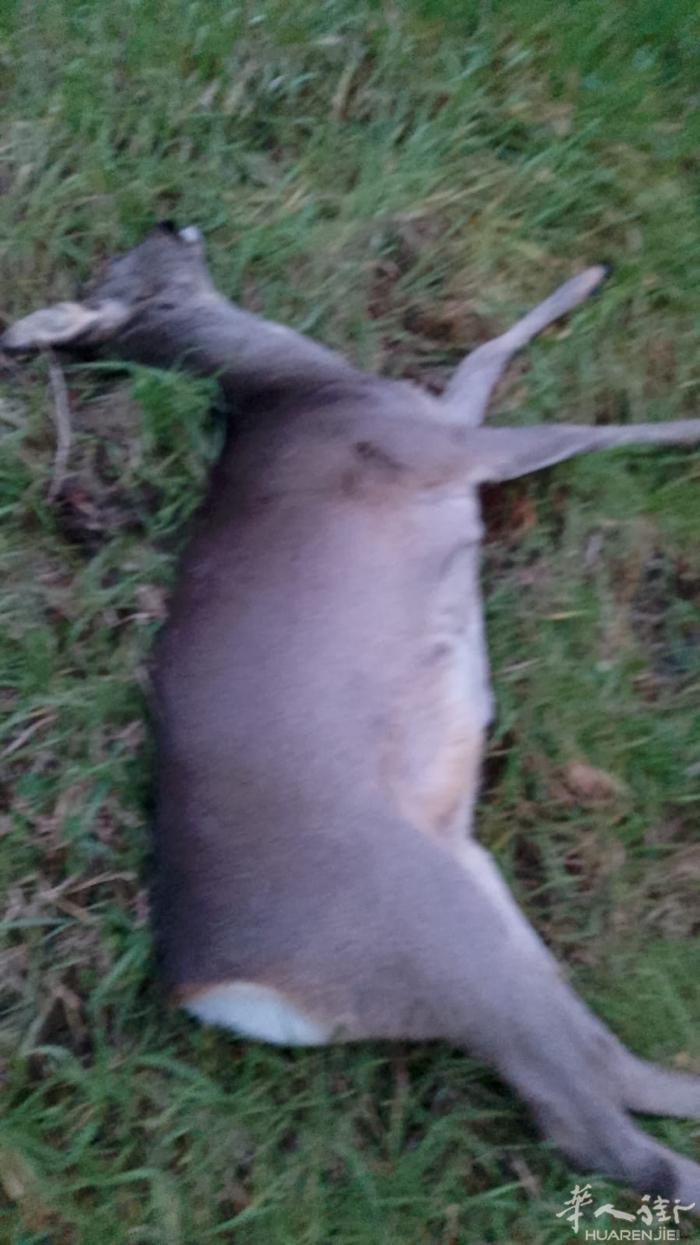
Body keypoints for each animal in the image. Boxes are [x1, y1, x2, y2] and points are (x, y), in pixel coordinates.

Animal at [4, 223, 700, 1211]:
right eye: (125, 268)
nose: (170, 220)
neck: (299, 389)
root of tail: (213, 987)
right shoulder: (439, 448)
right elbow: (580, 428)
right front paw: (688, 424)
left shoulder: (441, 419)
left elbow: (481, 354)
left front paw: (591, 274)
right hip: (424, 924)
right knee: (583, 1116)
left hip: (479, 904)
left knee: (604, 1062)